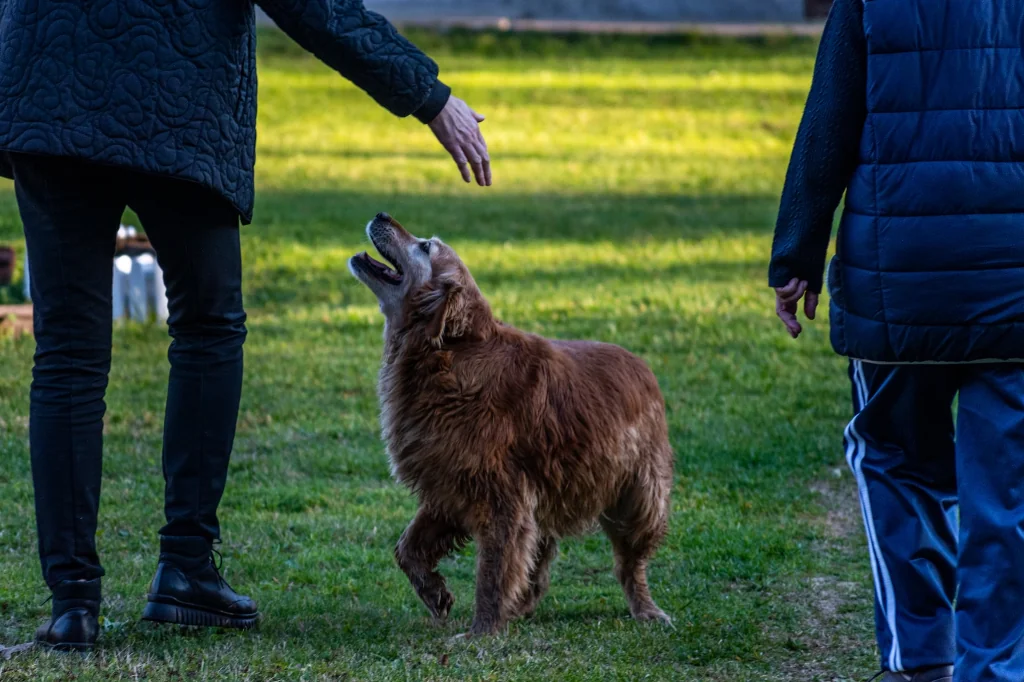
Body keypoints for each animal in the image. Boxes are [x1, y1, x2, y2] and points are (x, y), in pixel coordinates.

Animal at [348, 210, 675, 630]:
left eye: (425, 246)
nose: (381, 214)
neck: (451, 353)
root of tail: (643, 365)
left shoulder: (501, 496)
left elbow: (494, 569)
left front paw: (482, 630)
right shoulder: (448, 485)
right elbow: (408, 548)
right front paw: (435, 592)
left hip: (639, 497)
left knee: (630, 564)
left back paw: (647, 609)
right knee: (539, 561)